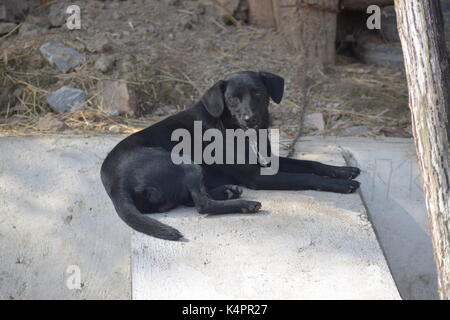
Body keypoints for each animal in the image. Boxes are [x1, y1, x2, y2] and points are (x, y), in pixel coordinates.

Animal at [100, 70, 360, 240]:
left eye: (258, 93)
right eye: (232, 98)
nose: (250, 119)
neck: (236, 129)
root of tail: (116, 185)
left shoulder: (266, 159)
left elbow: (309, 163)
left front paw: (343, 170)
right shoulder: (256, 176)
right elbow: (305, 177)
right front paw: (341, 185)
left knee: (190, 198)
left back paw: (228, 191)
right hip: (184, 163)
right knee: (202, 205)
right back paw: (244, 204)